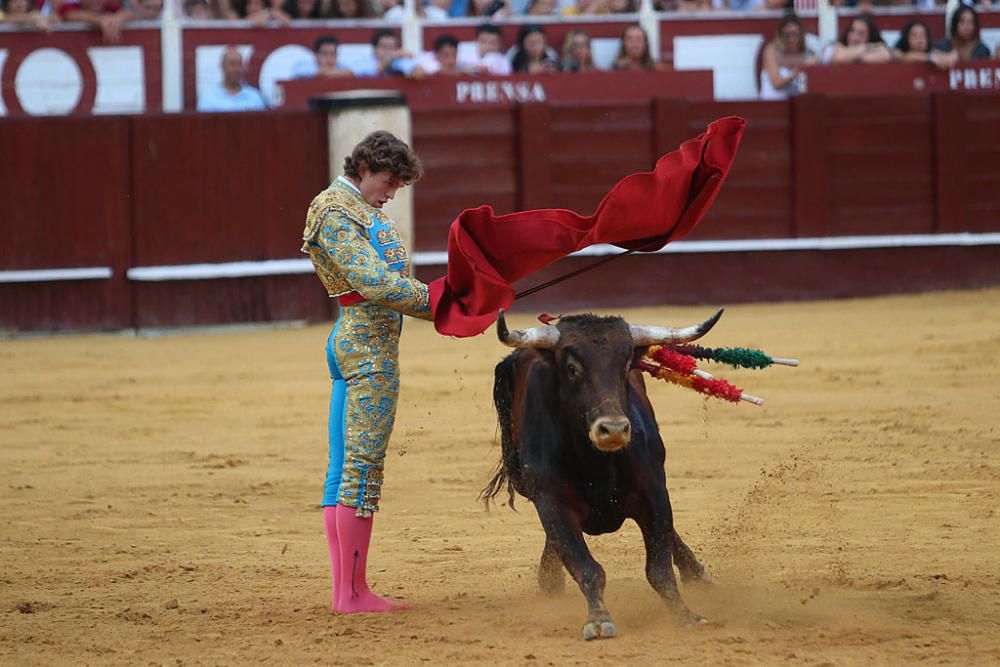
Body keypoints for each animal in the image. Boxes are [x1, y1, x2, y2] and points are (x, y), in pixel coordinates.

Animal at [480, 310, 724, 640]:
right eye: (572, 368)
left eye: (625, 366)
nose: (614, 429)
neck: (597, 463)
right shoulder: (551, 502)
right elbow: (586, 567)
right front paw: (597, 619)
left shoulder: (655, 493)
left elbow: (659, 569)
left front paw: (685, 614)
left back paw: (697, 574)